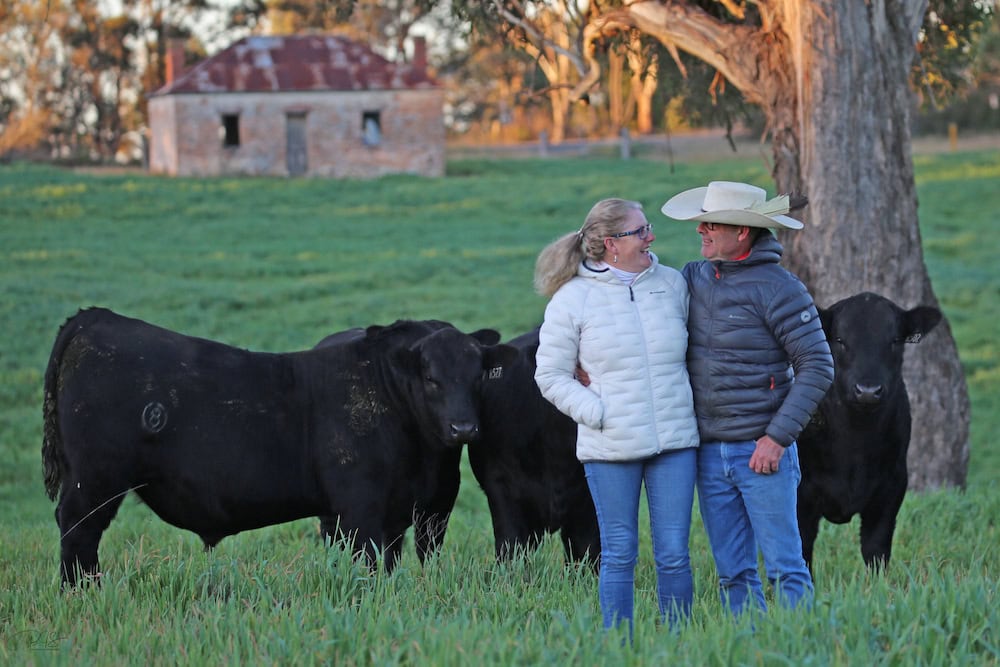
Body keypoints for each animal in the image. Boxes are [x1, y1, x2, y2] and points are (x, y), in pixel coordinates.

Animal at [41, 308, 516, 584]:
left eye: (478, 374)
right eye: (431, 378)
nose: (463, 428)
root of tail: (96, 318)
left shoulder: (414, 511)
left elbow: (400, 559)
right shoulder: (359, 507)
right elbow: (367, 561)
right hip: (95, 483)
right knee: (79, 533)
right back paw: (81, 590)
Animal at [792, 294, 940, 572]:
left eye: (895, 340)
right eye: (839, 340)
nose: (868, 391)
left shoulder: (892, 487)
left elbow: (876, 548)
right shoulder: (799, 494)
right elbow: (800, 549)